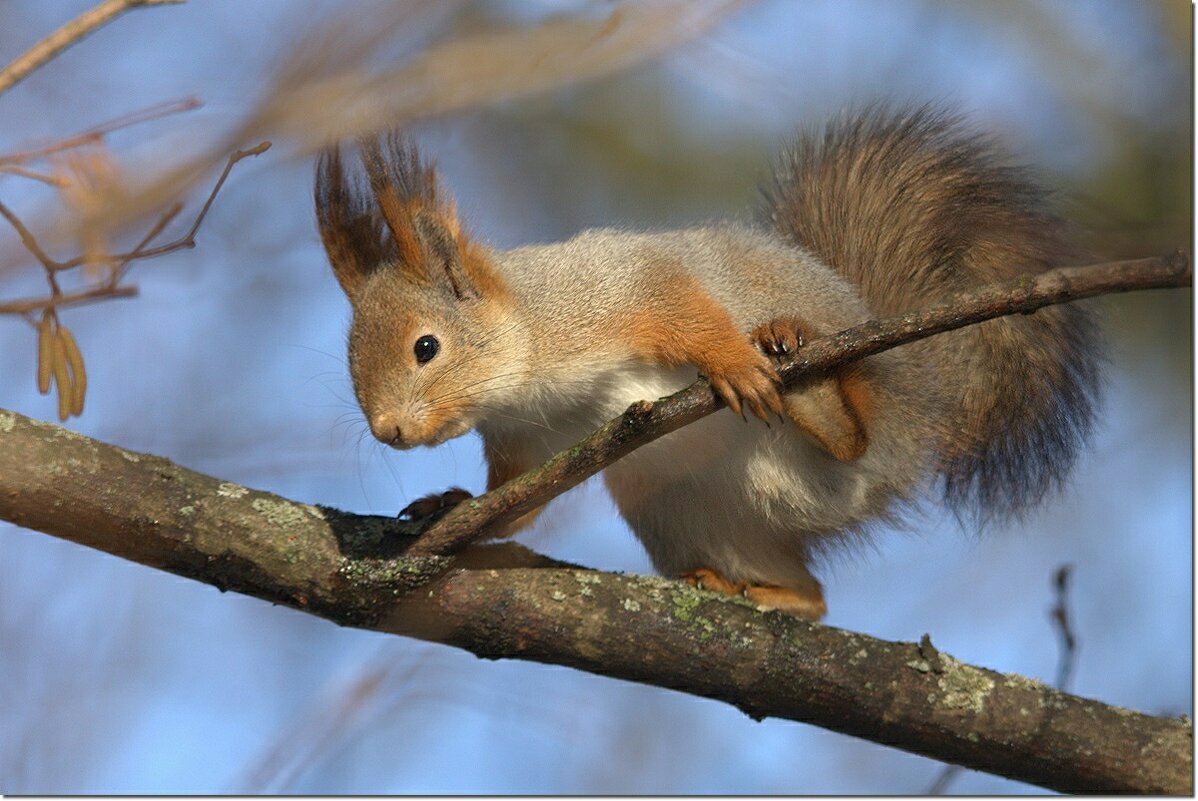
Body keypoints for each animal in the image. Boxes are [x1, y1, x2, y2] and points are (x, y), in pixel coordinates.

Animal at [316, 104, 1102, 617]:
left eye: (426, 347)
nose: (389, 431)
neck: (529, 359)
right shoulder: (533, 442)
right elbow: (518, 500)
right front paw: (456, 506)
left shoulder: (616, 291)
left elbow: (682, 310)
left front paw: (733, 361)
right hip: (683, 509)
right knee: (816, 595)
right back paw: (761, 589)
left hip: (869, 410)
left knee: (857, 441)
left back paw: (811, 386)